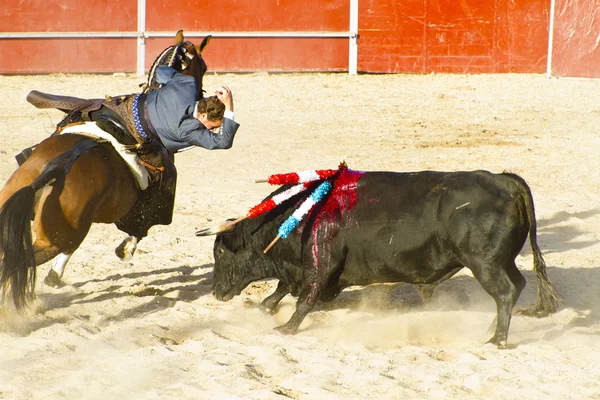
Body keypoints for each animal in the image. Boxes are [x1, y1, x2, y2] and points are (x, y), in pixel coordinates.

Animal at [198, 169, 556, 346]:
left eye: (220, 251)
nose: (215, 292)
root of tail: (505, 180)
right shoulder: (305, 269)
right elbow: (284, 287)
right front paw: (265, 307)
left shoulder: (321, 264)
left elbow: (304, 298)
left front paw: (286, 328)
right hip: (500, 262)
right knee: (515, 286)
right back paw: (492, 329)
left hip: (485, 263)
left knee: (506, 292)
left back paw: (497, 338)